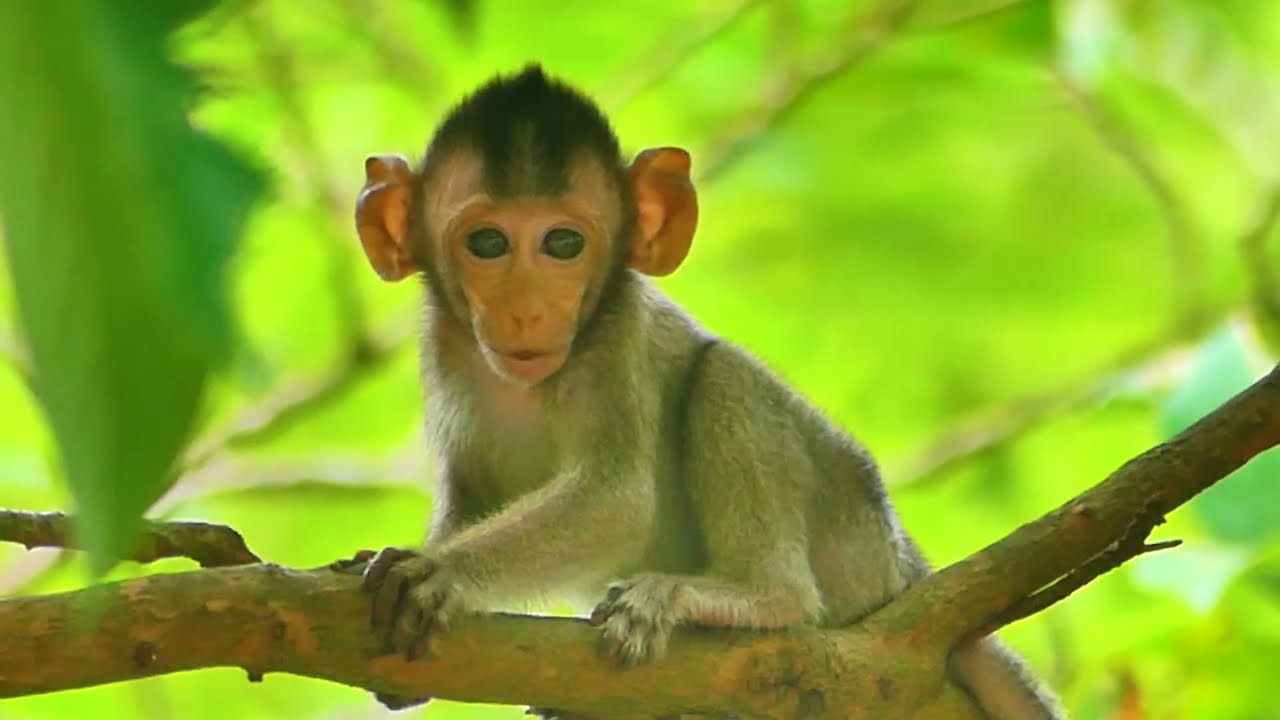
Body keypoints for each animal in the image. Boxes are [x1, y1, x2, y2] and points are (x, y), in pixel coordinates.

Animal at [352, 64, 1064, 719]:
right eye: (488, 243)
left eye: (563, 243)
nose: (526, 312)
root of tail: (910, 566)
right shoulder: (442, 345)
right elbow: (471, 494)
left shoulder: (618, 338)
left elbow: (616, 501)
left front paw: (443, 572)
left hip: (855, 536)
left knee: (723, 378)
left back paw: (747, 599)